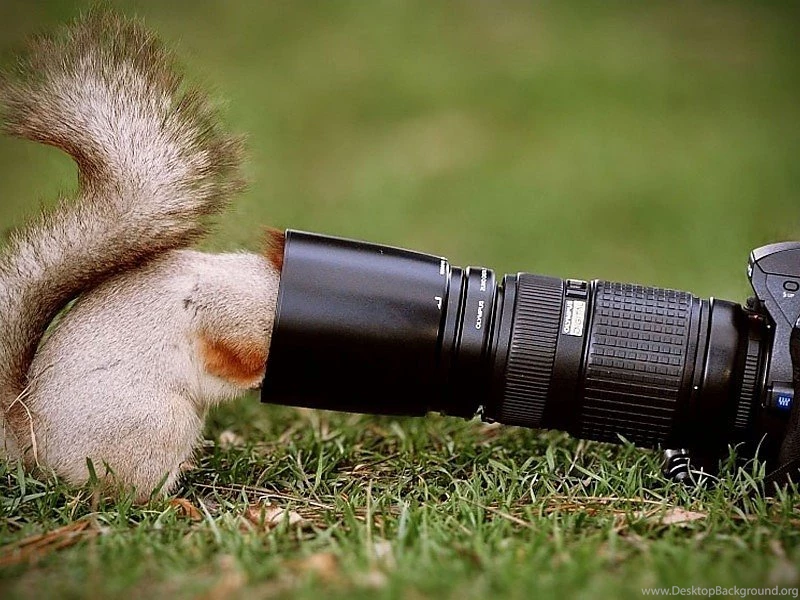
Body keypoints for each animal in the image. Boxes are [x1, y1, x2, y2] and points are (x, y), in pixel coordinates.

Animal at [0, 10, 285, 500]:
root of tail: (36, 451)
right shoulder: (227, 314)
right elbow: (229, 358)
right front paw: (259, 375)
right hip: (156, 426)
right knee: (132, 495)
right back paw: (178, 503)